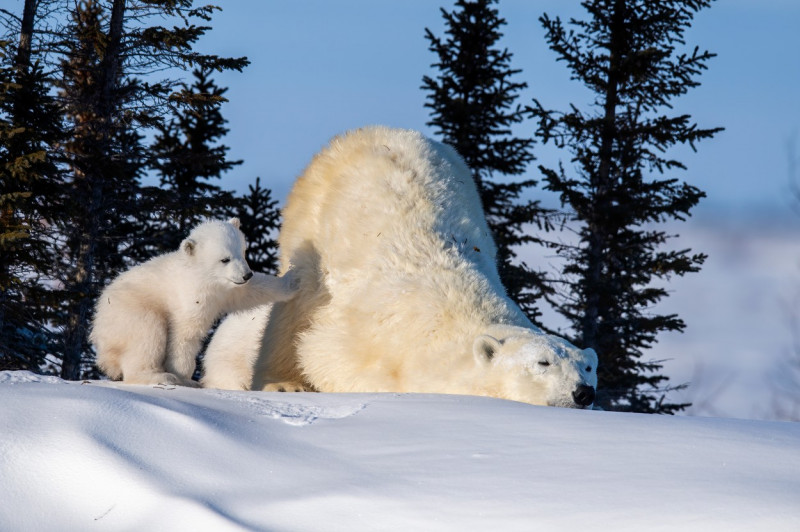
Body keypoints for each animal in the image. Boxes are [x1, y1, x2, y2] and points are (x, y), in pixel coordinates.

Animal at [217, 128, 592, 408]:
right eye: (542, 362)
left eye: (588, 366)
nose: (583, 393)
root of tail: (378, 130)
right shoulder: (366, 341)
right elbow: (324, 355)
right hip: (310, 227)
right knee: (290, 315)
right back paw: (282, 383)